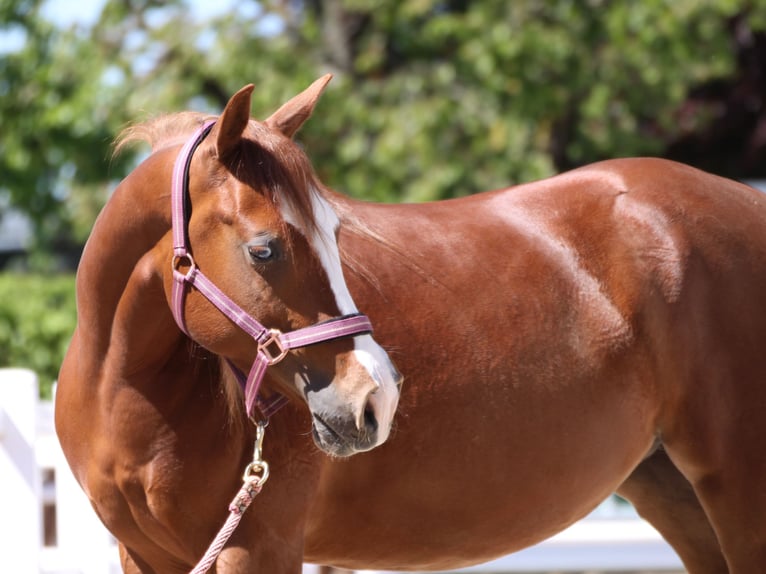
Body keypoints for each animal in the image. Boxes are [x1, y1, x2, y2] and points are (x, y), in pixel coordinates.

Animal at [57, 75, 766, 574]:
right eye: (264, 249)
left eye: (336, 232)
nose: (377, 396)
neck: (128, 392)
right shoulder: (146, 555)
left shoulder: (258, 547)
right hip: (675, 491)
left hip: (737, 490)